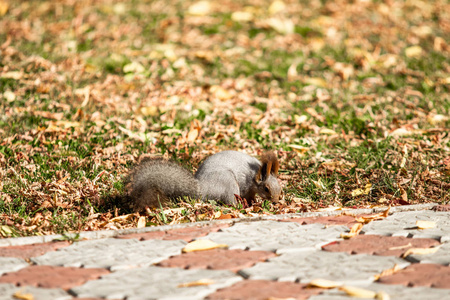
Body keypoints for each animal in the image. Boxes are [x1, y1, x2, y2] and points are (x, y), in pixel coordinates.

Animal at [126, 150, 282, 211]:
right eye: (266, 188)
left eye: (280, 189)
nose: (275, 202)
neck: (254, 175)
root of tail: (201, 189)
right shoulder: (245, 184)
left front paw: (253, 202)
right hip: (228, 182)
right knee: (230, 201)